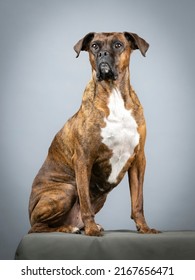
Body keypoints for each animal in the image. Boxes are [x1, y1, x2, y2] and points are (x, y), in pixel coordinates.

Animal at [28, 31, 159, 235]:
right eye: (94, 46)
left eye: (118, 45)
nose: (102, 54)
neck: (113, 94)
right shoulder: (83, 159)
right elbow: (85, 203)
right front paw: (91, 230)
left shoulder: (138, 160)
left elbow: (138, 201)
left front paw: (144, 228)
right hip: (65, 190)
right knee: (38, 227)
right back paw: (70, 228)